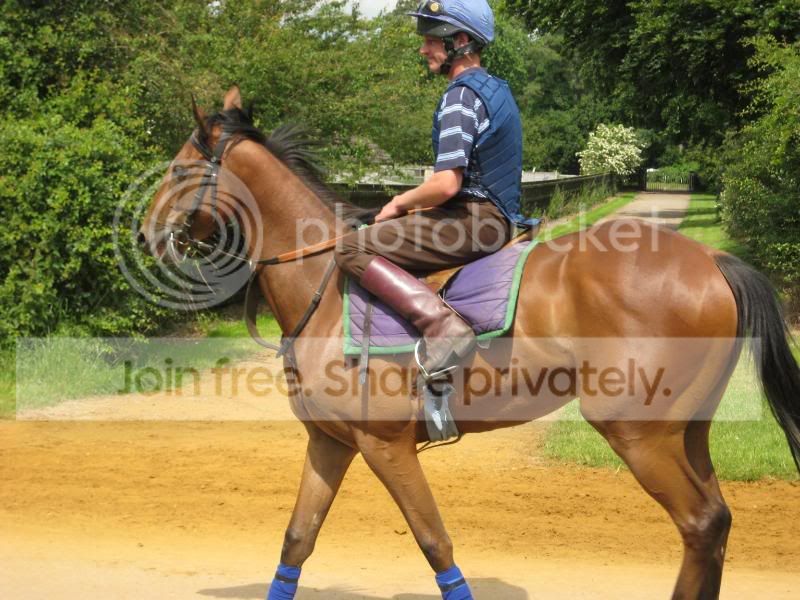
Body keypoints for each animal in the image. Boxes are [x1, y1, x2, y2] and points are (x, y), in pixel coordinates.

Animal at [138, 86, 800, 599]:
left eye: (178, 170)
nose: (145, 235)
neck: (323, 287)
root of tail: (712, 260)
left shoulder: (384, 447)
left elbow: (435, 542)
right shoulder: (330, 444)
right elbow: (297, 541)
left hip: (636, 431)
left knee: (701, 523)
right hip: (686, 430)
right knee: (716, 524)